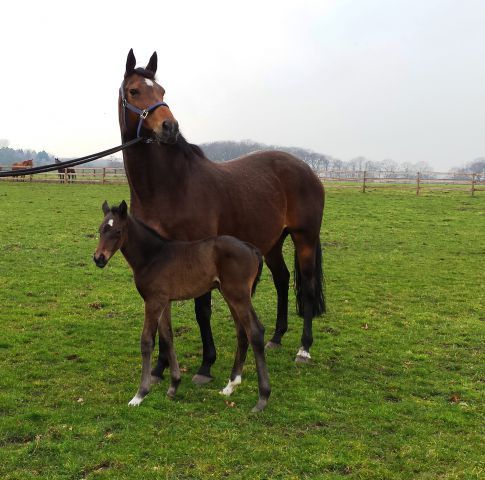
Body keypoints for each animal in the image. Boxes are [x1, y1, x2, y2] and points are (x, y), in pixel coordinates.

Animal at [92, 201, 270, 410]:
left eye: (118, 231)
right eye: (100, 230)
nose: (99, 258)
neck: (152, 256)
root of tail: (252, 249)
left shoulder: (153, 301)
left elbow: (147, 342)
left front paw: (140, 394)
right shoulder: (164, 302)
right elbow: (168, 338)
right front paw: (174, 386)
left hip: (238, 295)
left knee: (255, 331)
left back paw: (262, 398)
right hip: (231, 295)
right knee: (242, 332)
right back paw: (230, 386)